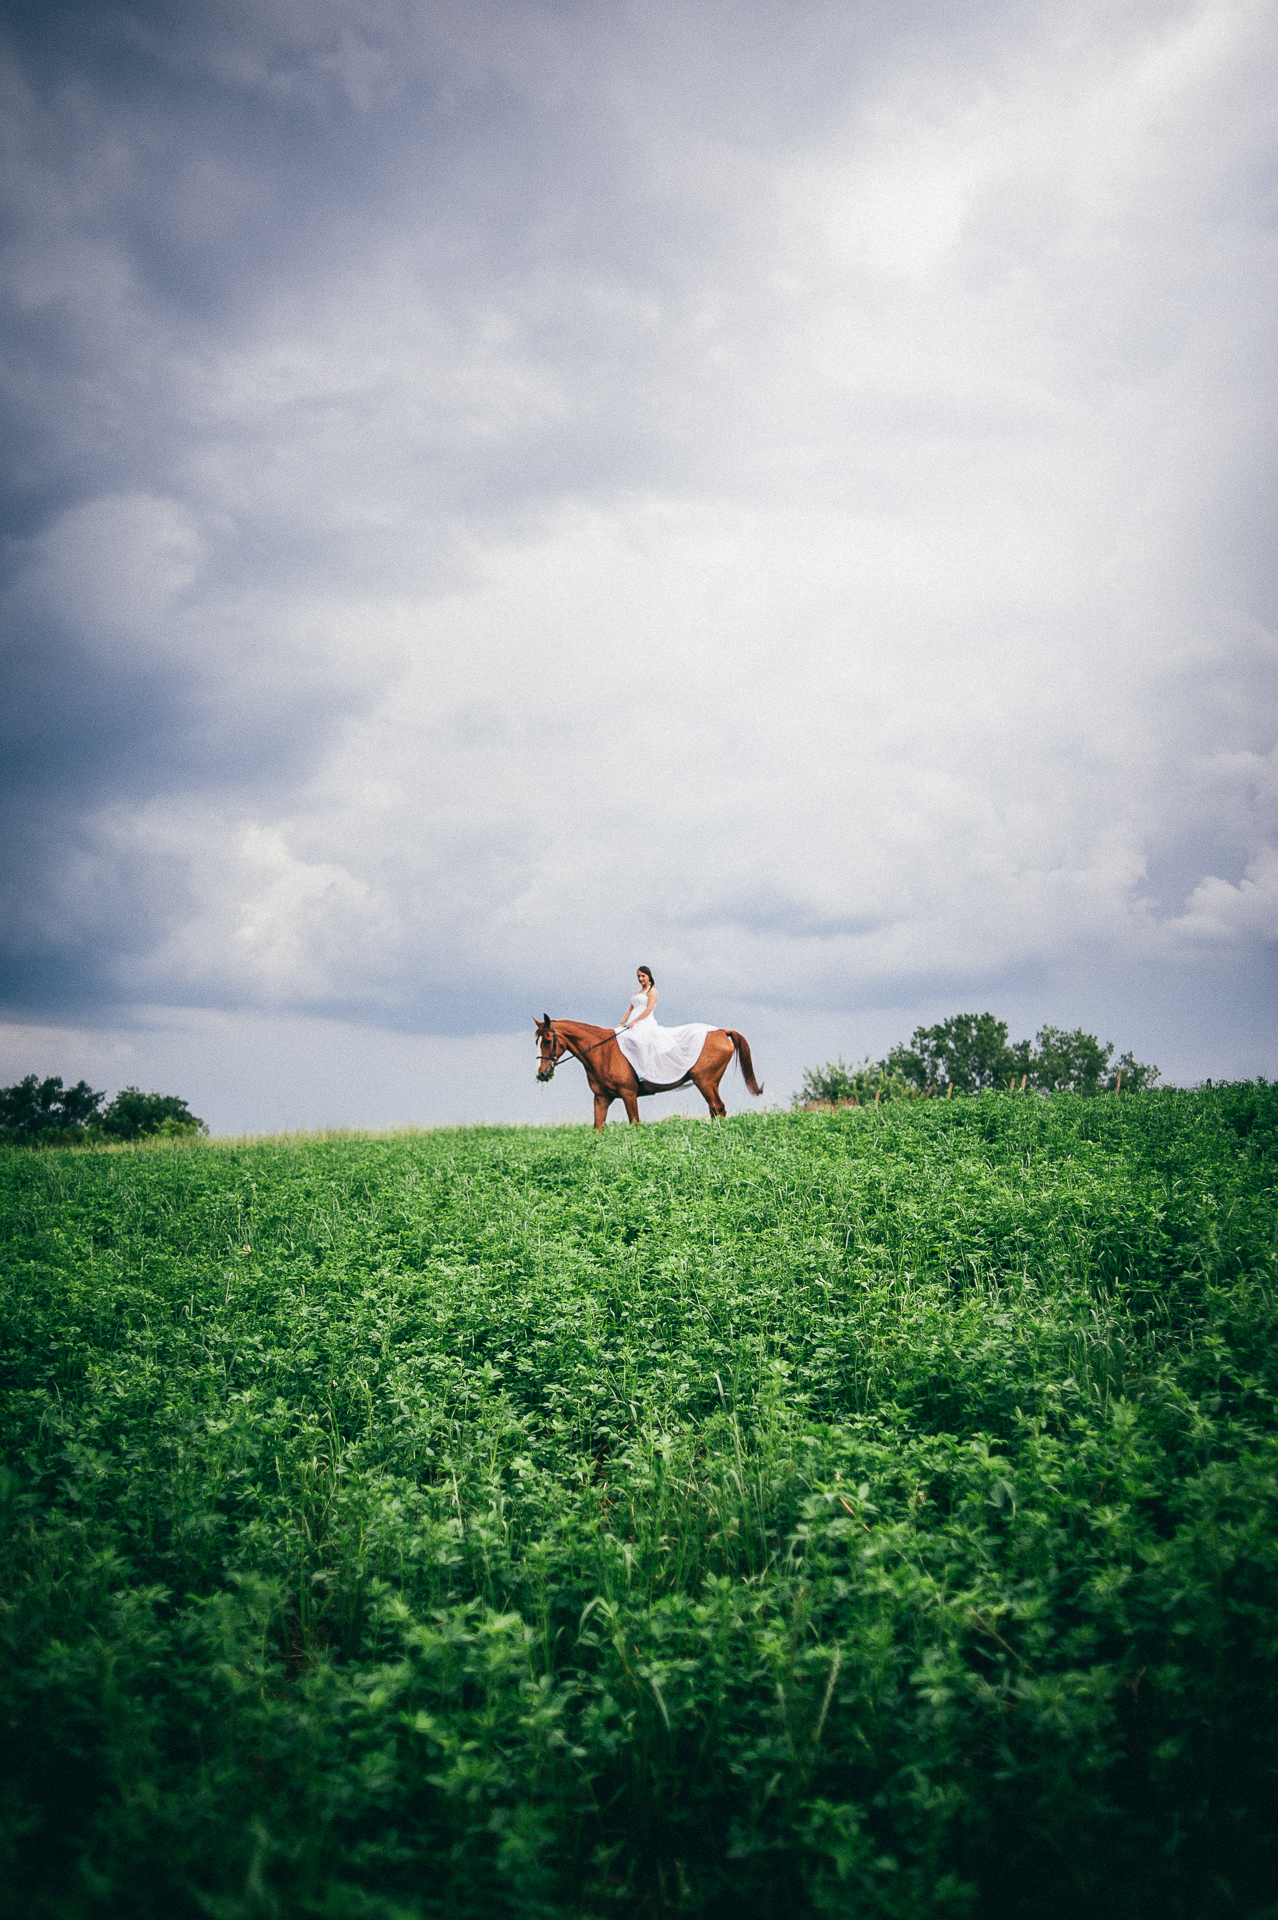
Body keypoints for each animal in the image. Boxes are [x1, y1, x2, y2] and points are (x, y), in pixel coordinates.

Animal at [534, 1015, 763, 1129]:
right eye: (536, 1041)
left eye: (547, 1041)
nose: (541, 1074)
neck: (603, 1051)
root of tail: (722, 1031)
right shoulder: (601, 1097)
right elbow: (597, 1128)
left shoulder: (628, 1094)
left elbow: (635, 1123)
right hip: (709, 1083)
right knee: (715, 1111)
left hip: (705, 1081)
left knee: (718, 1109)